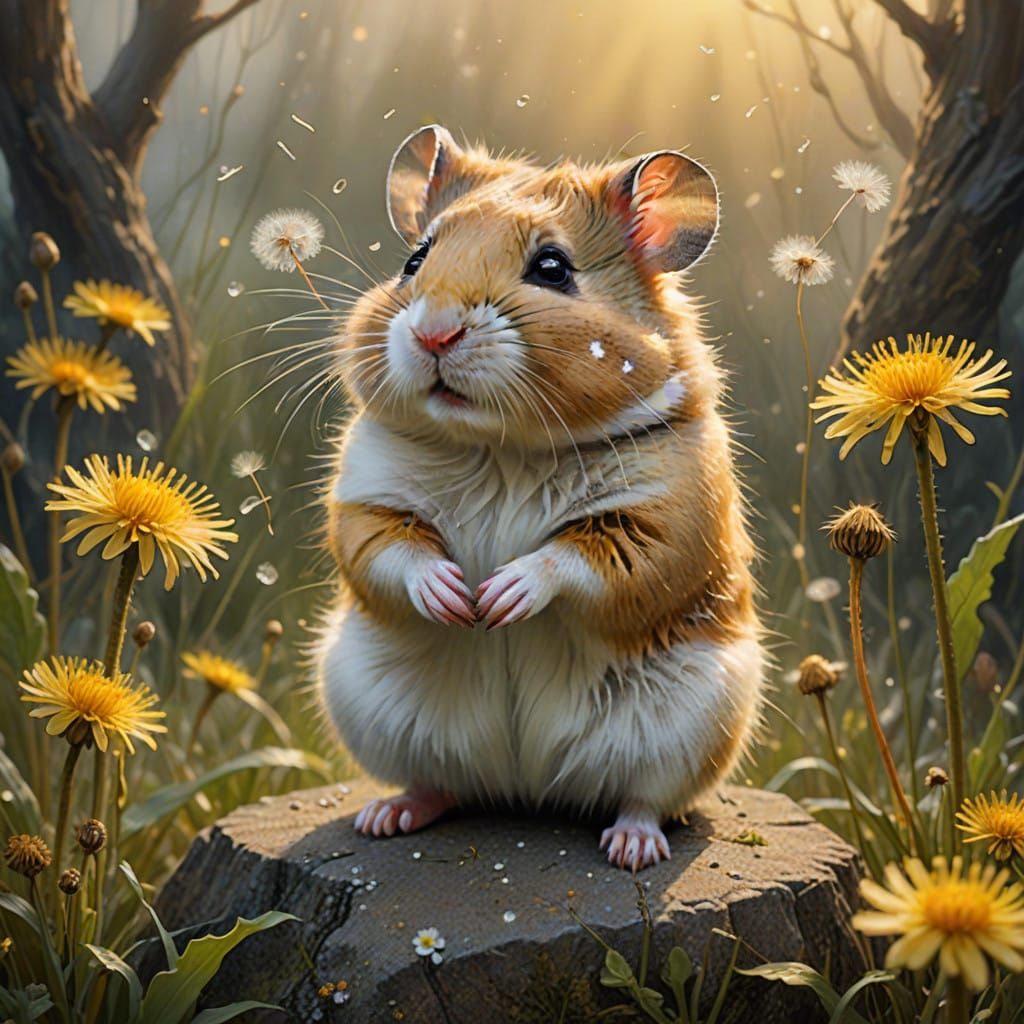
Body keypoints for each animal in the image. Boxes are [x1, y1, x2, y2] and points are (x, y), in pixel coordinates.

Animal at [317, 125, 764, 871]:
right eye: (415, 258)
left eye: (553, 268)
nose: (433, 332)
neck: (503, 447)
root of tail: (527, 790)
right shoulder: (367, 499)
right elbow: (391, 550)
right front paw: (456, 600)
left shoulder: (663, 519)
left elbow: (576, 559)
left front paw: (496, 600)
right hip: (369, 703)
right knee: (439, 783)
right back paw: (387, 816)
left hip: (694, 722)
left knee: (645, 797)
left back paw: (631, 847)